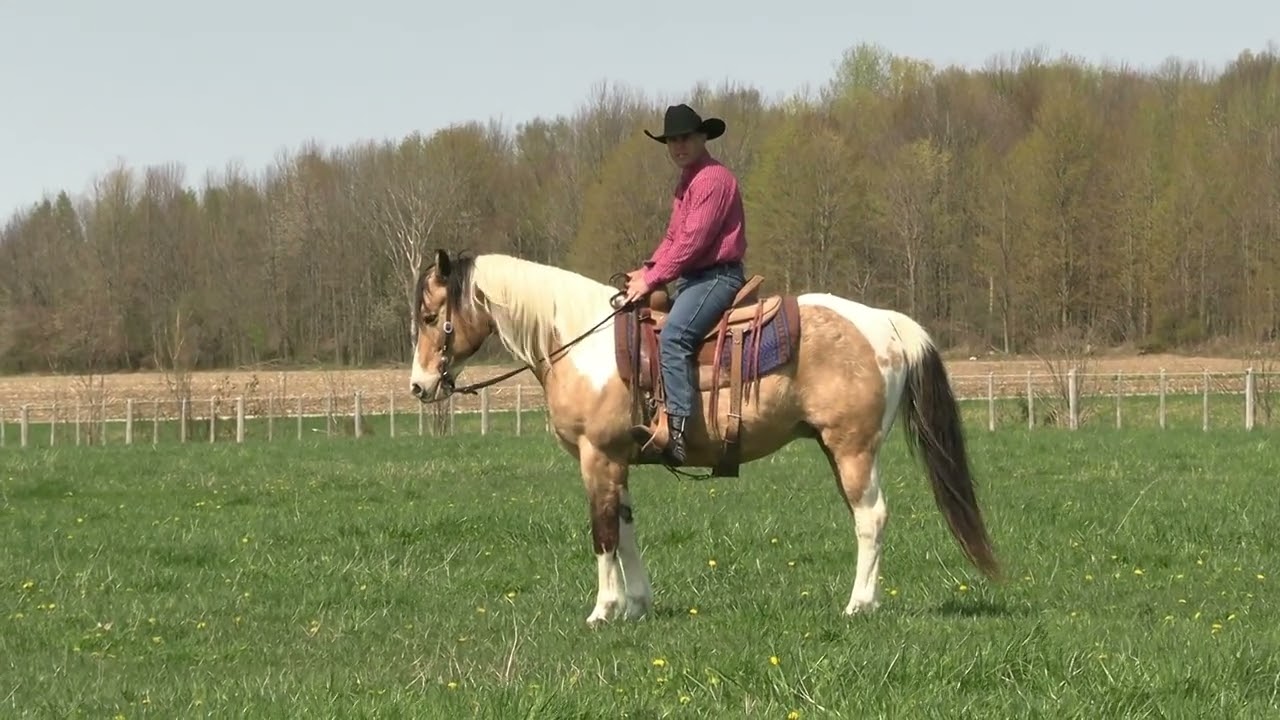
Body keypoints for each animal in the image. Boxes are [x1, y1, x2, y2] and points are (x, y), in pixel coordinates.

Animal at [408, 249, 1000, 626]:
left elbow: (603, 533)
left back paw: (859, 605)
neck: (580, 343)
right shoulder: (619, 461)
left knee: (870, 518)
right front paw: (637, 605)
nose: (418, 386)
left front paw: (602, 611)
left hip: (852, 448)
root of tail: (887, 322)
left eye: (431, 315)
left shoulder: (597, 458)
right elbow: (627, 530)